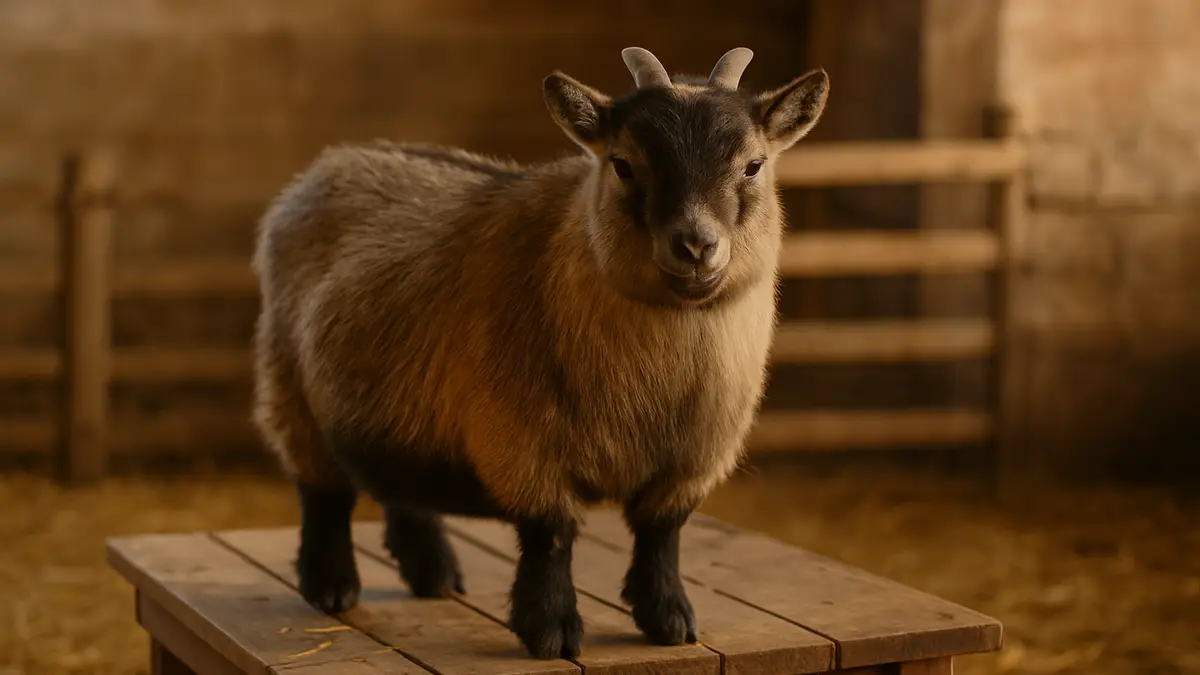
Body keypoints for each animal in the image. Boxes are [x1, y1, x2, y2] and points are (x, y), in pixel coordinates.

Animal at [251, 46, 829, 660]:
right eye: (623, 164)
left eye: (753, 165)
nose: (696, 245)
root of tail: (329, 163)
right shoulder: (525, 446)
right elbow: (550, 537)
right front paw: (550, 630)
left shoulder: (690, 460)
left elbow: (661, 537)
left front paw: (669, 621)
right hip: (290, 389)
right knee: (323, 494)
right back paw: (331, 586)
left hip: (395, 402)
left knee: (401, 484)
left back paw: (433, 574)